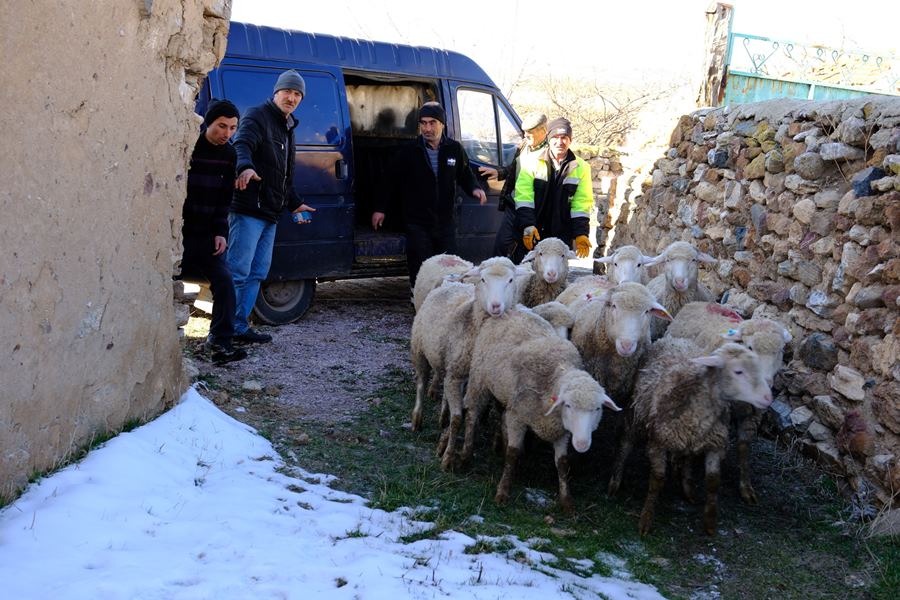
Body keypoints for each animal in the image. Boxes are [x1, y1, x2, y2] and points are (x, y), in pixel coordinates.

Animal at [408, 255, 520, 472]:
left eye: (510, 280)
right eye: (483, 280)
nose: (496, 306)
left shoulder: (474, 380)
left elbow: (470, 413)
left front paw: (464, 451)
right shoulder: (457, 375)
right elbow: (458, 418)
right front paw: (448, 458)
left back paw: (443, 414)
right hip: (419, 348)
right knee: (421, 383)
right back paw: (417, 418)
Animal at [464, 310, 620, 510]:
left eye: (597, 408)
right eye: (568, 405)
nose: (582, 444)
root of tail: (513, 310)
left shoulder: (561, 431)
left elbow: (562, 464)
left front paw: (566, 501)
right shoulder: (518, 417)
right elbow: (512, 454)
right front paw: (503, 492)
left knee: (502, 417)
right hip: (479, 379)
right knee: (473, 413)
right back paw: (464, 456)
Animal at [612, 338, 772, 536]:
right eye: (738, 371)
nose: (768, 397)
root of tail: (676, 340)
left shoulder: (715, 445)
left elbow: (713, 481)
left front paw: (710, 522)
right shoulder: (658, 442)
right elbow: (657, 479)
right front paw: (646, 519)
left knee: (687, 457)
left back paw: (687, 487)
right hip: (636, 414)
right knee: (626, 441)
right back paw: (615, 479)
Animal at [664, 302, 792, 504]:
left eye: (779, 351)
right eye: (750, 347)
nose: (766, 382)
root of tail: (699, 302)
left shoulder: (751, 416)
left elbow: (744, 448)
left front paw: (746, 488)